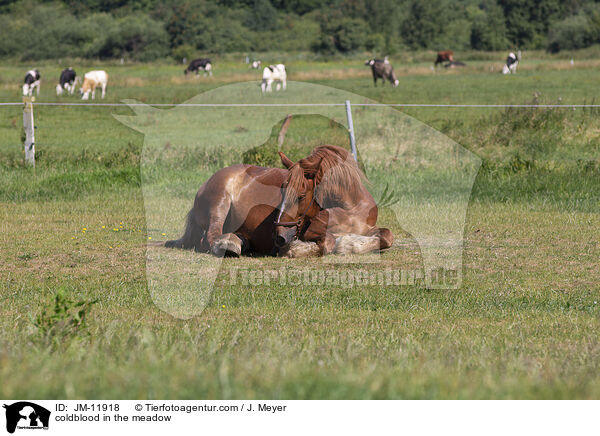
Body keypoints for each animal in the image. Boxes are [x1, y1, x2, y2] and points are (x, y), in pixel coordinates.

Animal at [164, 145, 392, 258]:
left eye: (301, 196)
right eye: (281, 192)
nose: (280, 237)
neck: (351, 207)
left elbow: (387, 237)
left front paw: (351, 243)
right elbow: (328, 242)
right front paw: (297, 250)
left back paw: (241, 240)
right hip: (219, 202)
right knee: (209, 237)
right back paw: (230, 244)